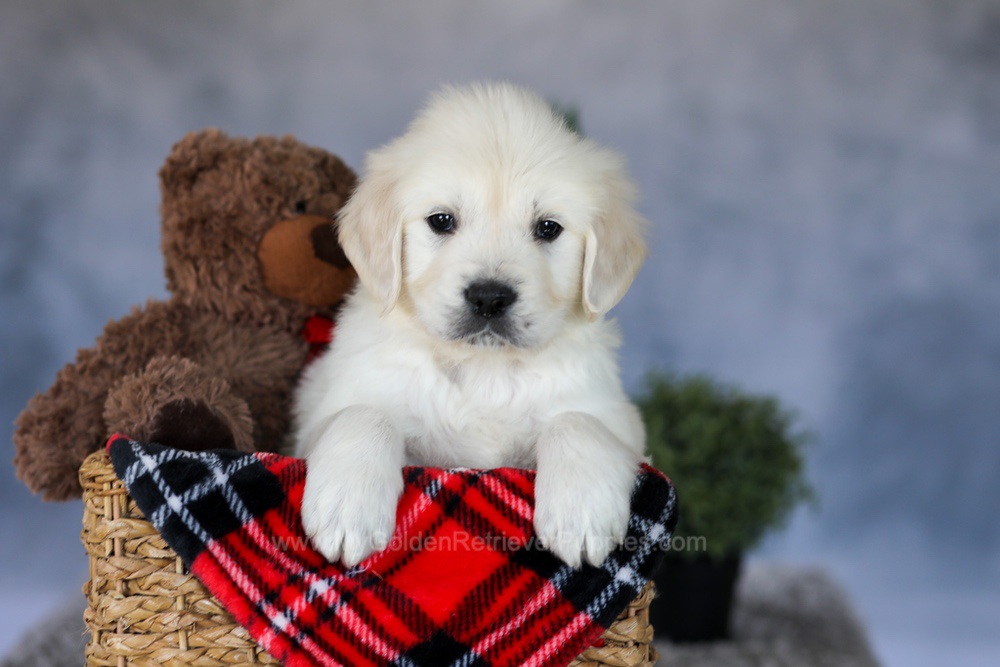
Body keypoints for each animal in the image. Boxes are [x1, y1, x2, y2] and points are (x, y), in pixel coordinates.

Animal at [291, 82, 648, 569]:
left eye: (548, 228)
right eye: (442, 220)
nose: (489, 298)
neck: (483, 368)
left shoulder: (620, 419)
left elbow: (577, 421)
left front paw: (581, 512)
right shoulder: (324, 413)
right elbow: (364, 414)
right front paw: (348, 507)